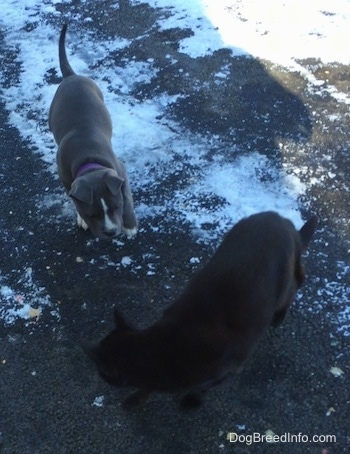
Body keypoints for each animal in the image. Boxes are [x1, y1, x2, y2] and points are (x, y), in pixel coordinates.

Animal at [49, 25, 137, 239]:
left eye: (116, 207)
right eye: (92, 214)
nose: (111, 232)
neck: (88, 160)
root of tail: (71, 76)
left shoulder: (120, 172)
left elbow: (127, 196)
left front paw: (130, 225)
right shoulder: (67, 180)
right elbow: (74, 200)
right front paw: (81, 219)